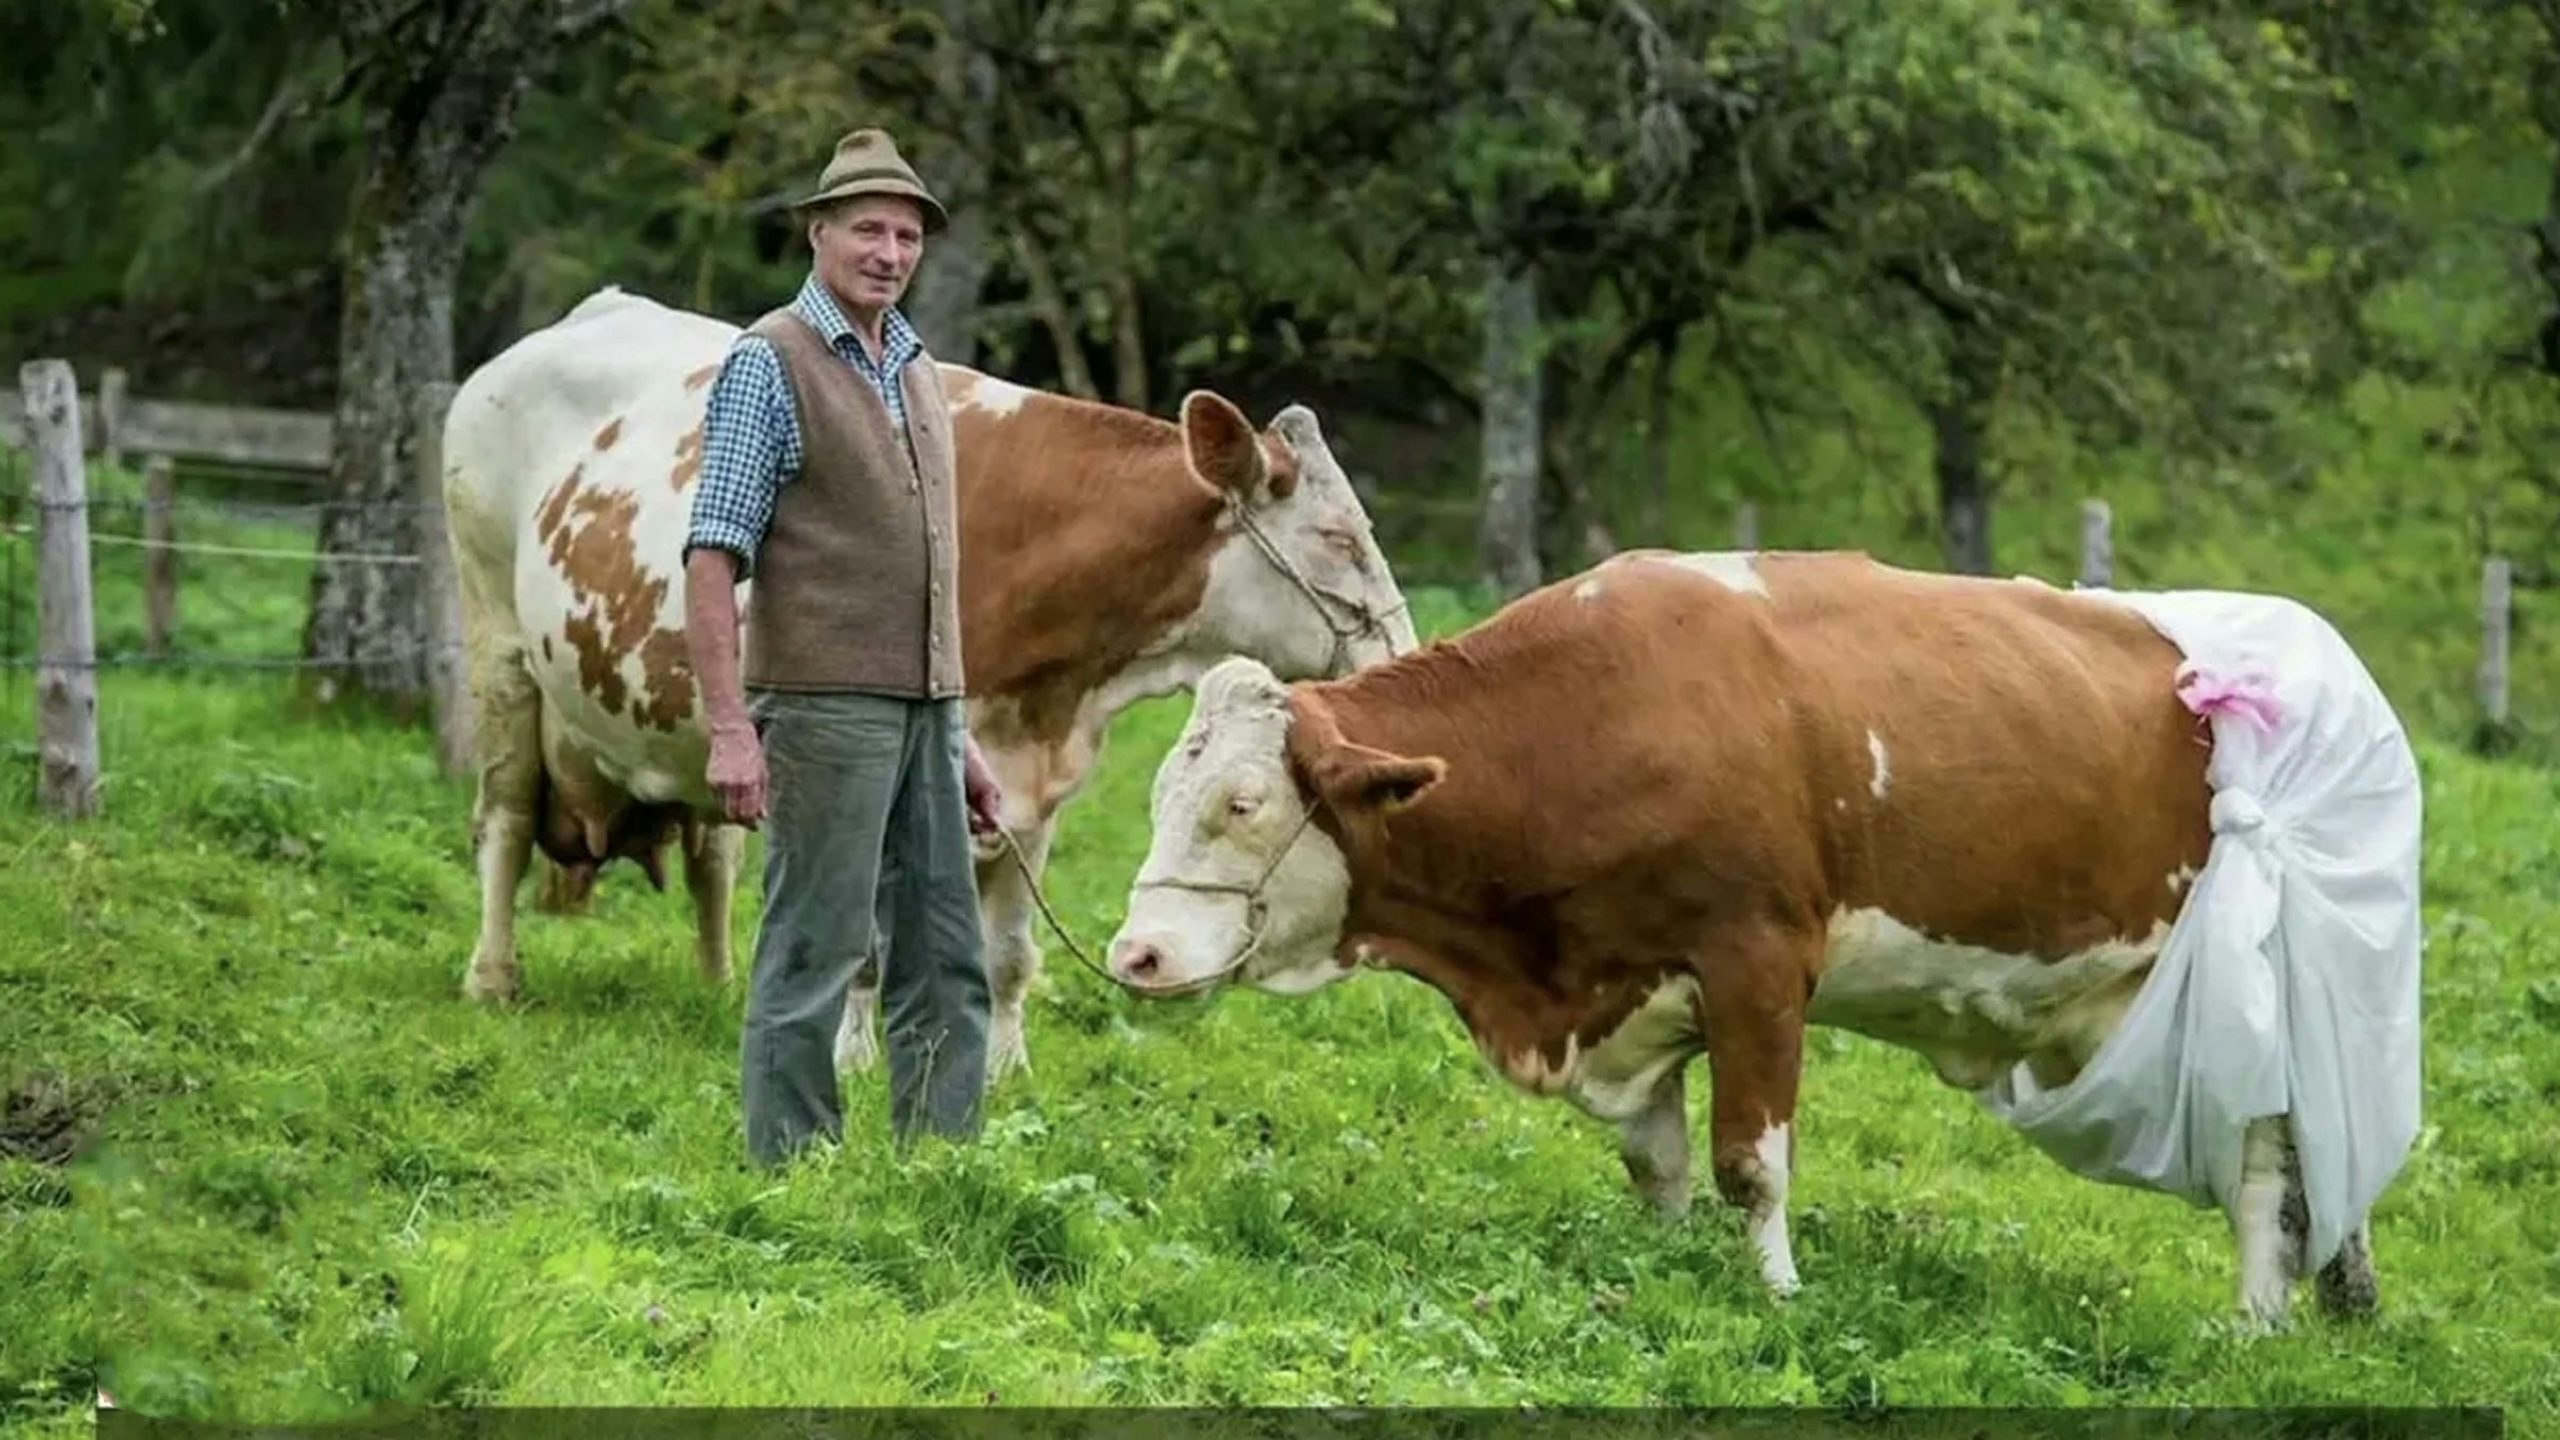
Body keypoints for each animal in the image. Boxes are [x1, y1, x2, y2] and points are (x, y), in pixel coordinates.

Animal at [440, 284, 1416, 1078]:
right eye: (1338, 538)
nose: (1401, 656)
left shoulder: (1036, 793)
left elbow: (1009, 952)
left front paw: (1005, 1069)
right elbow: (868, 945)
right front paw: (855, 1059)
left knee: (712, 856)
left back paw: (720, 986)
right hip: (497, 643)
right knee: (506, 819)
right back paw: (493, 977)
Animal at [1101, 548, 2423, 1329]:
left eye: (1243, 805)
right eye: (1162, 790)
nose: (1137, 955)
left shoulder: (1759, 963)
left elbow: (1752, 1159)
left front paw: (1778, 1291)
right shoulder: (1627, 983)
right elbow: (1659, 1163)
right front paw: (1667, 1265)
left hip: (2254, 1003)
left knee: (2263, 1170)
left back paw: (2251, 1324)